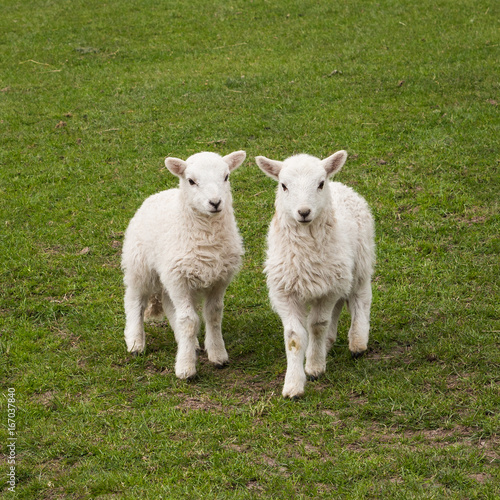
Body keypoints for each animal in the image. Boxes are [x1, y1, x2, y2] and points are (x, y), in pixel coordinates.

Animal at [121, 150, 246, 376]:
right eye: (191, 181)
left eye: (226, 176)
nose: (215, 202)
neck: (207, 238)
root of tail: (160, 193)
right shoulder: (179, 280)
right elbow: (188, 321)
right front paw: (185, 368)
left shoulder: (219, 280)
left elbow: (213, 315)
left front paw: (217, 354)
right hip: (139, 265)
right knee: (134, 300)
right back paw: (135, 342)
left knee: (169, 305)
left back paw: (190, 344)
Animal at [256, 149, 374, 398]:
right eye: (283, 185)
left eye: (320, 184)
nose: (303, 212)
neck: (306, 254)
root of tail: (339, 183)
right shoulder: (286, 291)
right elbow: (294, 337)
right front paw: (293, 385)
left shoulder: (327, 289)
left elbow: (317, 325)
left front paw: (314, 366)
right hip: (338, 274)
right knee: (340, 304)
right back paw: (330, 341)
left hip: (360, 260)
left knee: (360, 297)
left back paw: (358, 340)